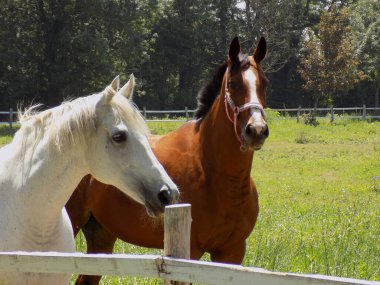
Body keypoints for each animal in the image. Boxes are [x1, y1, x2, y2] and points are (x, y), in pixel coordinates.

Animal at [66, 36, 268, 284]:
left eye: (264, 84)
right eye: (233, 83)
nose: (256, 130)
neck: (213, 174)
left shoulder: (232, 254)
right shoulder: (189, 254)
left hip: (101, 237)